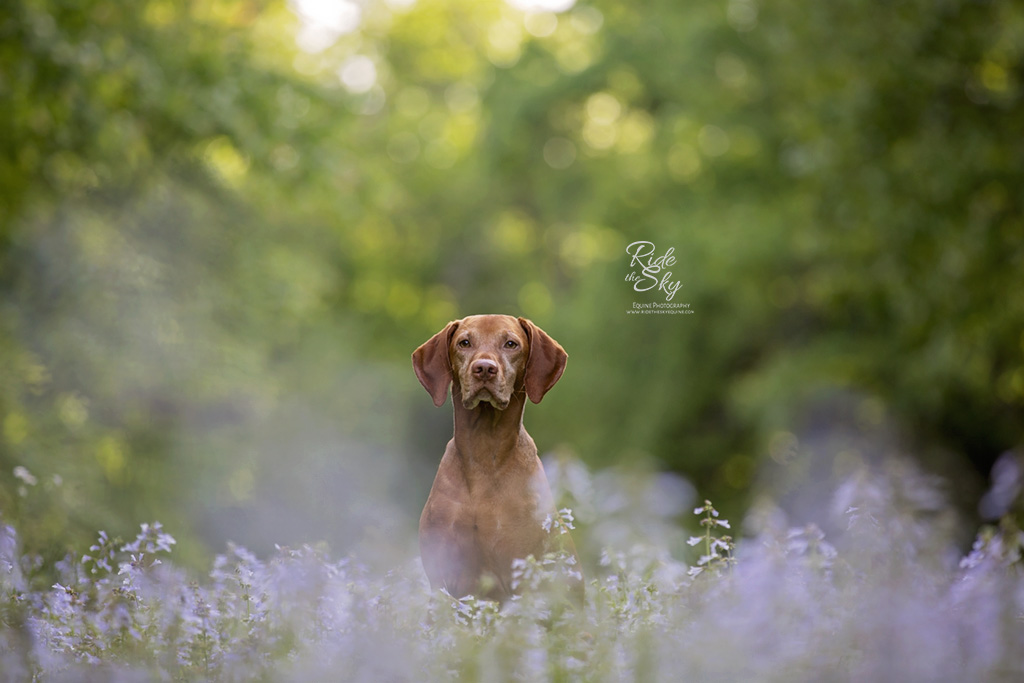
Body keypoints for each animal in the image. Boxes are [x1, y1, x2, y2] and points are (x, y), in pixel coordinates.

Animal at [411, 315, 581, 602]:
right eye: (464, 342)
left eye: (511, 343)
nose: (484, 368)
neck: (483, 451)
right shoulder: (443, 579)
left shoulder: (519, 574)